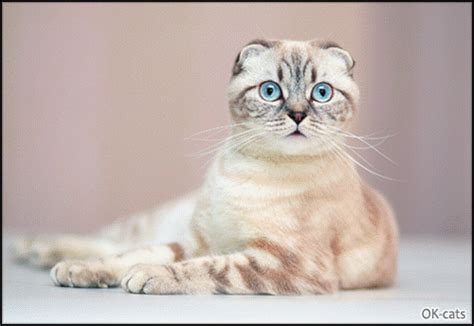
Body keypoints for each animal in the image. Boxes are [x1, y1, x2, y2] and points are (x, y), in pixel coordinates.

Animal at [11, 38, 398, 296]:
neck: (249, 172)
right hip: (157, 223)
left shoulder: (284, 264)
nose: (298, 115)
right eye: (270, 91)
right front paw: (91, 271)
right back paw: (33, 249)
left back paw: (37, 253)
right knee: (111, 240)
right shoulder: (199, 240)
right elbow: (135, 255)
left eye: (322, 93)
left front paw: (148, 275)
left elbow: (203, 268)